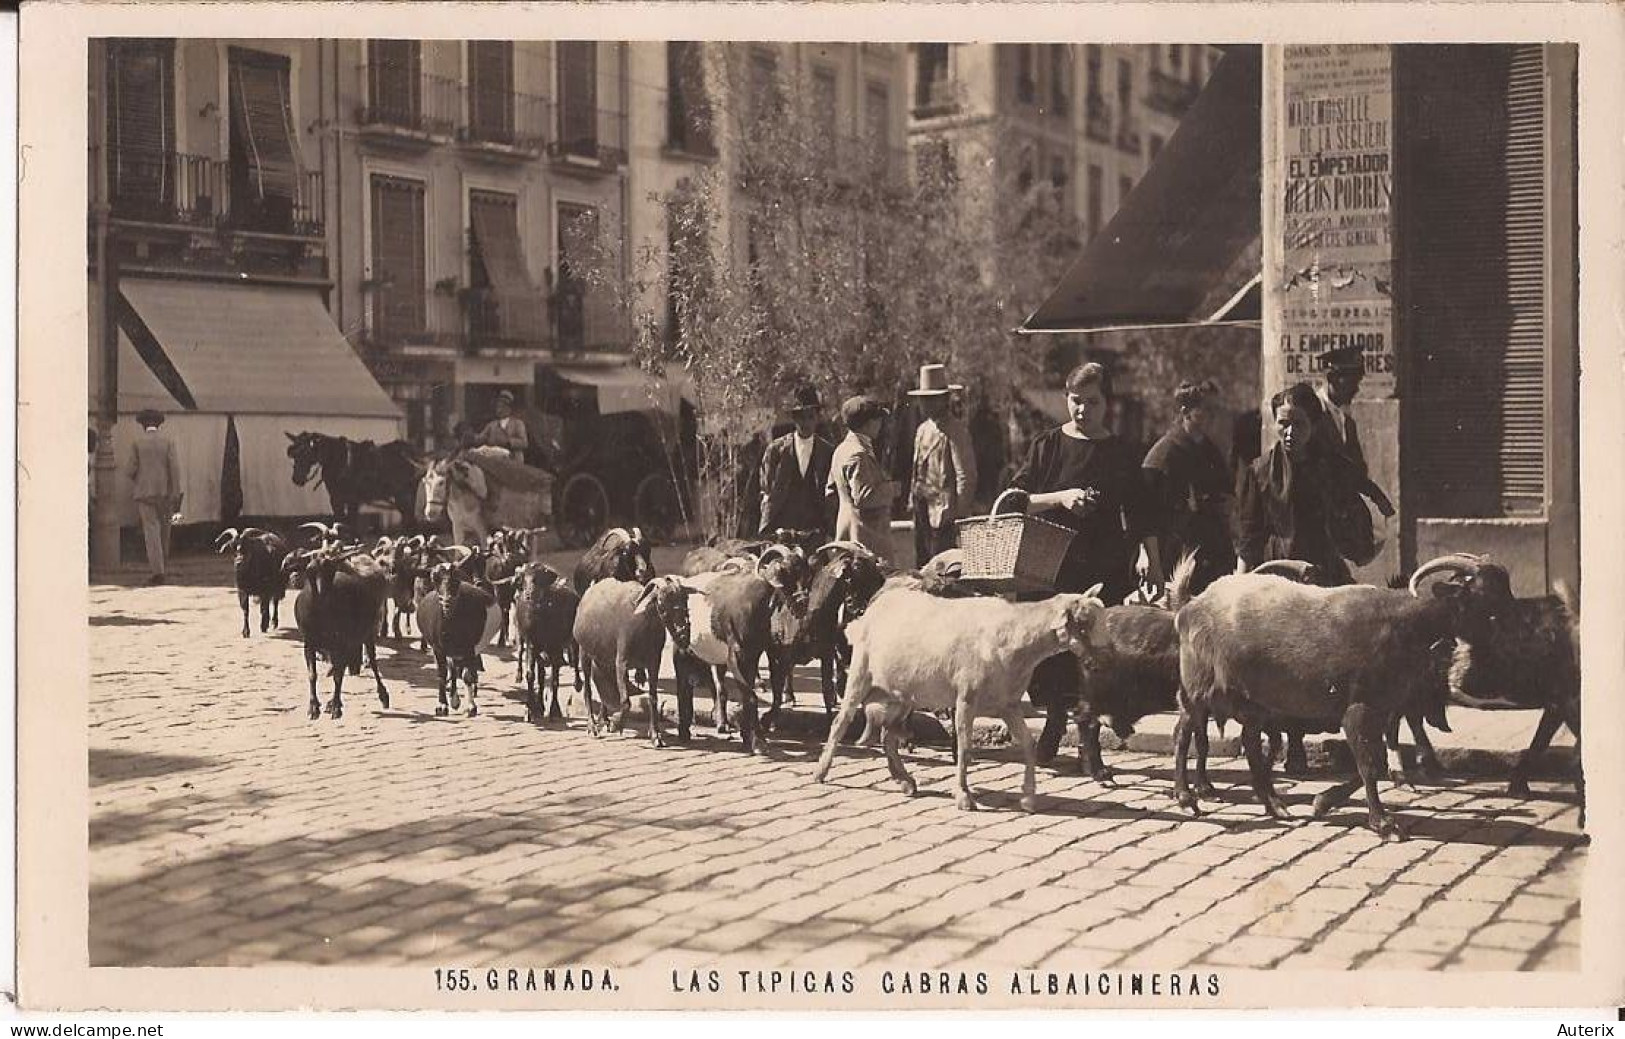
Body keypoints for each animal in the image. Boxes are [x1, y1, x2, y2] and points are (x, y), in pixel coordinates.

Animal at [282, 546, 390, 721]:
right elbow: (313, 674)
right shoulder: (309, 643)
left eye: (330, 570)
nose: (321, 594)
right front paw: (314, 707)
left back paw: (383, 696)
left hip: (367, 633)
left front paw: (336, 708)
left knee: (372, 662)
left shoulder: (342, 642)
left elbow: (338, 676)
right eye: (309, 571)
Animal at [513, 565, 585, 728]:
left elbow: (555, 680)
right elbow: (531, 676)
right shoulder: (532, 645)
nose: (529, 595)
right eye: (524, 580)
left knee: (575, 660)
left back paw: (577, 683)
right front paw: (529, 711)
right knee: (541, 676)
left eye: (539, 579)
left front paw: (554, 710)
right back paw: (539, 706)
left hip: (572, 640)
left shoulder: (555, 647)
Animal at [819, 585, 1111, 812]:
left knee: (888, 737)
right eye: (1083, 625)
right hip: (860, 673)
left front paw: (1028, 798)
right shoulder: (965, 700)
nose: (1101, 665)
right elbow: (965, 749)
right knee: (840, 722)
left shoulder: (1008, 704)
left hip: (904, 694)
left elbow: (1028, 744)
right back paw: (821, 772)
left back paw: (905, 781)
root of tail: (877, 604)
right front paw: (964, 797)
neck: (1016, 639)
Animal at [1176, 552, 1514, 839]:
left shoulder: (1381, 708)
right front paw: (1383, 823)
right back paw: (1187, 797)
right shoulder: (1358, 707)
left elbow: (1377, 760)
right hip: (1198, 686)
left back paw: (1275, 805)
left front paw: (1324, 801)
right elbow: (1368, 763)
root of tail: (1190, 605)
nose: (1515, 635)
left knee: (1250, 743)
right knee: (1186, 731)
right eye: (1485, 597)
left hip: (1255, 699)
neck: (1401, 622)